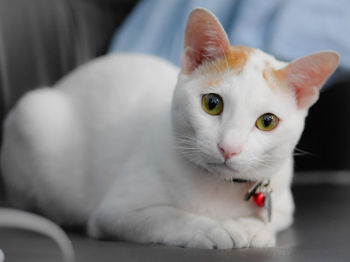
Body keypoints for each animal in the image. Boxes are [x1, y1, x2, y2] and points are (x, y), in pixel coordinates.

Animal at [0, 8, 340, 249]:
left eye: (267, 122)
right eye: (212, 104)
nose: (228, 148)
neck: (217, 186)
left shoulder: (283, 204)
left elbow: (272, 222)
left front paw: (252, 229)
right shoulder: (114, 212)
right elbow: (167, 216)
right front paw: (214, 228)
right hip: (34, 116)